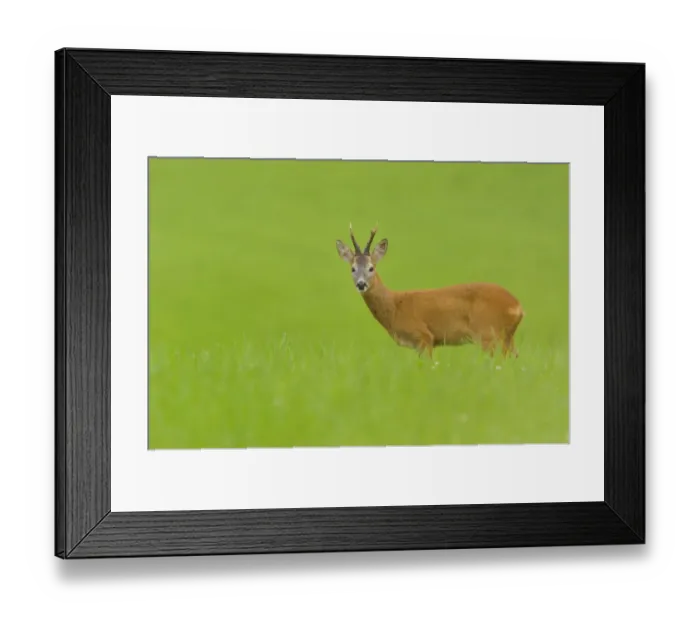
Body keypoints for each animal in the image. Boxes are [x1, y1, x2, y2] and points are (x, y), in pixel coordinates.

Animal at [335, 225, 524, 360]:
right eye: (353, 268)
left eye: (371, 268)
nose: (361, 284)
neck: (394, 307)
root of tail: (518, 306)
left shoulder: (424, 336)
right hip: (506, 336)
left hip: (488, 333)